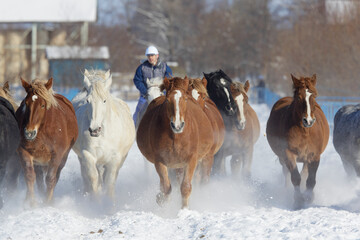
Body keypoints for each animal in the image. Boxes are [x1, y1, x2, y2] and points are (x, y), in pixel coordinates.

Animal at [71, 69, 135, 201]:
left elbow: (109, 181)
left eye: (104, 100)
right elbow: (93, 178)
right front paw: (96, 202)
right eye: (88, 100)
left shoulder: (115, 158)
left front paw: (109, 203)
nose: (94, 130)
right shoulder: (88, 155)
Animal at [136, 77, 212, 208]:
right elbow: (166, 188)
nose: (177, 125)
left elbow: (185, 187)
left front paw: (184, 210)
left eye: (185, 99)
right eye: (167, 100)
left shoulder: (191, 160)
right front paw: (162, 203)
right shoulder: (160, 161)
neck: (176, 136)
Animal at [264, 74, 330, 207]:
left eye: (314, 95)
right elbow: (295, 178)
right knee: (287, 173)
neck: (305, 132)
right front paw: (298, 200)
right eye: (299, 97)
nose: (308, 120)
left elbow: (310, 180)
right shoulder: (288, 154)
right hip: (282, 157)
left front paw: (308, 198)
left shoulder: (314, 156)